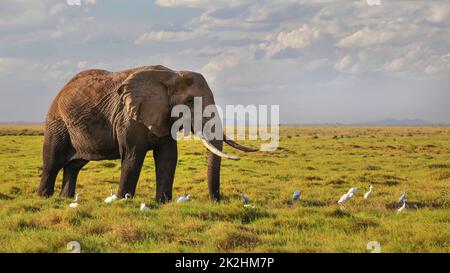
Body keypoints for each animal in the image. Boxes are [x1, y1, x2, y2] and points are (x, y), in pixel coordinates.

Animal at [37, 65, 256, 202]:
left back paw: (65, 199)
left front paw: (163, 203)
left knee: (73, 167)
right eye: (189, 102)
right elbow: (133, 156)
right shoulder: (128, 117)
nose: (216, 200)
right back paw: (44, 199)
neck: (171, 75)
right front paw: (123, 200)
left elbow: (168, 157)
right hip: (57, 123)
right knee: (52, 163)